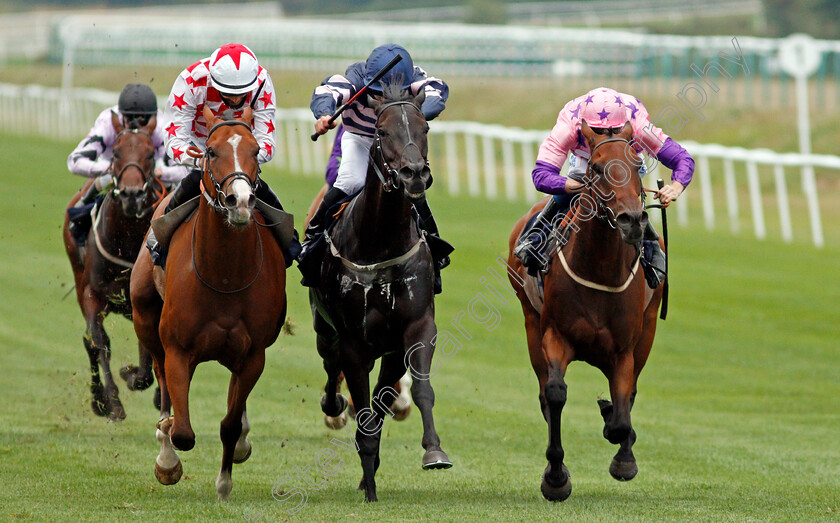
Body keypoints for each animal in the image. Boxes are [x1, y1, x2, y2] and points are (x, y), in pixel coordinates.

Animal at [62, 113, 166, 422]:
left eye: (150, 154)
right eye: (117, 152)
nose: (131, 195)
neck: (128, 241)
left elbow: (149, 357)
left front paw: (134, 377)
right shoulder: (93, 295)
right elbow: (100, 342)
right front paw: (113, 401)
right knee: (89, 341)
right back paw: (99, 399)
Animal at [130, 105, 288, 500]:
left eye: (255, 151)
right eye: (212, 151)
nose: (240, 201)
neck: (224, 276)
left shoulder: (253, 355)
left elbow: (229, 424)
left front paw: (224, 483)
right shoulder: (178, 349)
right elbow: (183, 432)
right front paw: (168, 460)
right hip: (145, 319)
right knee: (163, 386)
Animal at [310, 83, 452, 504]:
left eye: (425, 128)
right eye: (382, 131)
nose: (414, 173)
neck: (381, 240)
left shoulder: (416, 328)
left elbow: (419, 391)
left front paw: (434, 451)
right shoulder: (353, 341)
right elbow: (361, 408)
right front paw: (370, 488)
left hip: (388, 353)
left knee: (381, 398)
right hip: (325, 330)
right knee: (332, 370)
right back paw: (334, 407)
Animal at [508, 123, 668, 504]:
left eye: (637, 163)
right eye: (595, 167)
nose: (632, 220)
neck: (599, 268)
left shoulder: (625, 349)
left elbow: (623, 411)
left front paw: (622, 453)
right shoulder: (554, 336)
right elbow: (555, 395)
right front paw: (555, 478)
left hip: (649, 329)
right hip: (530, 321)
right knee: (544, 394)